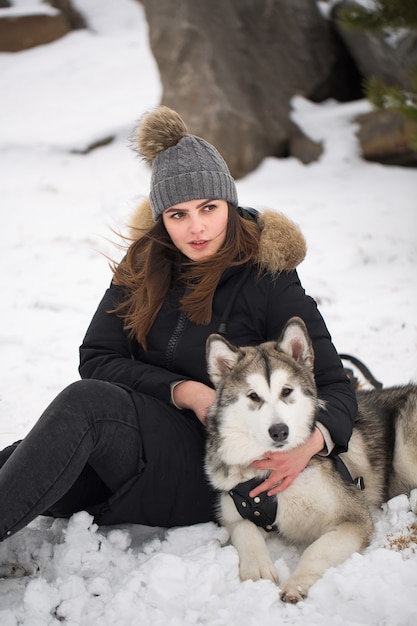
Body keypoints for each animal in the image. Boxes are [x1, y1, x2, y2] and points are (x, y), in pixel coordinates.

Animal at [205, 316, 416, 600]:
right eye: (253, 396)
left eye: (286, 391)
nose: (279, 431)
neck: (270, 473)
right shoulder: (235, 514)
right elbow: (244, 528)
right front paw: (258, 568)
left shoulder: (353, 517)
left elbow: (317, 550)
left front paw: (297, 583)